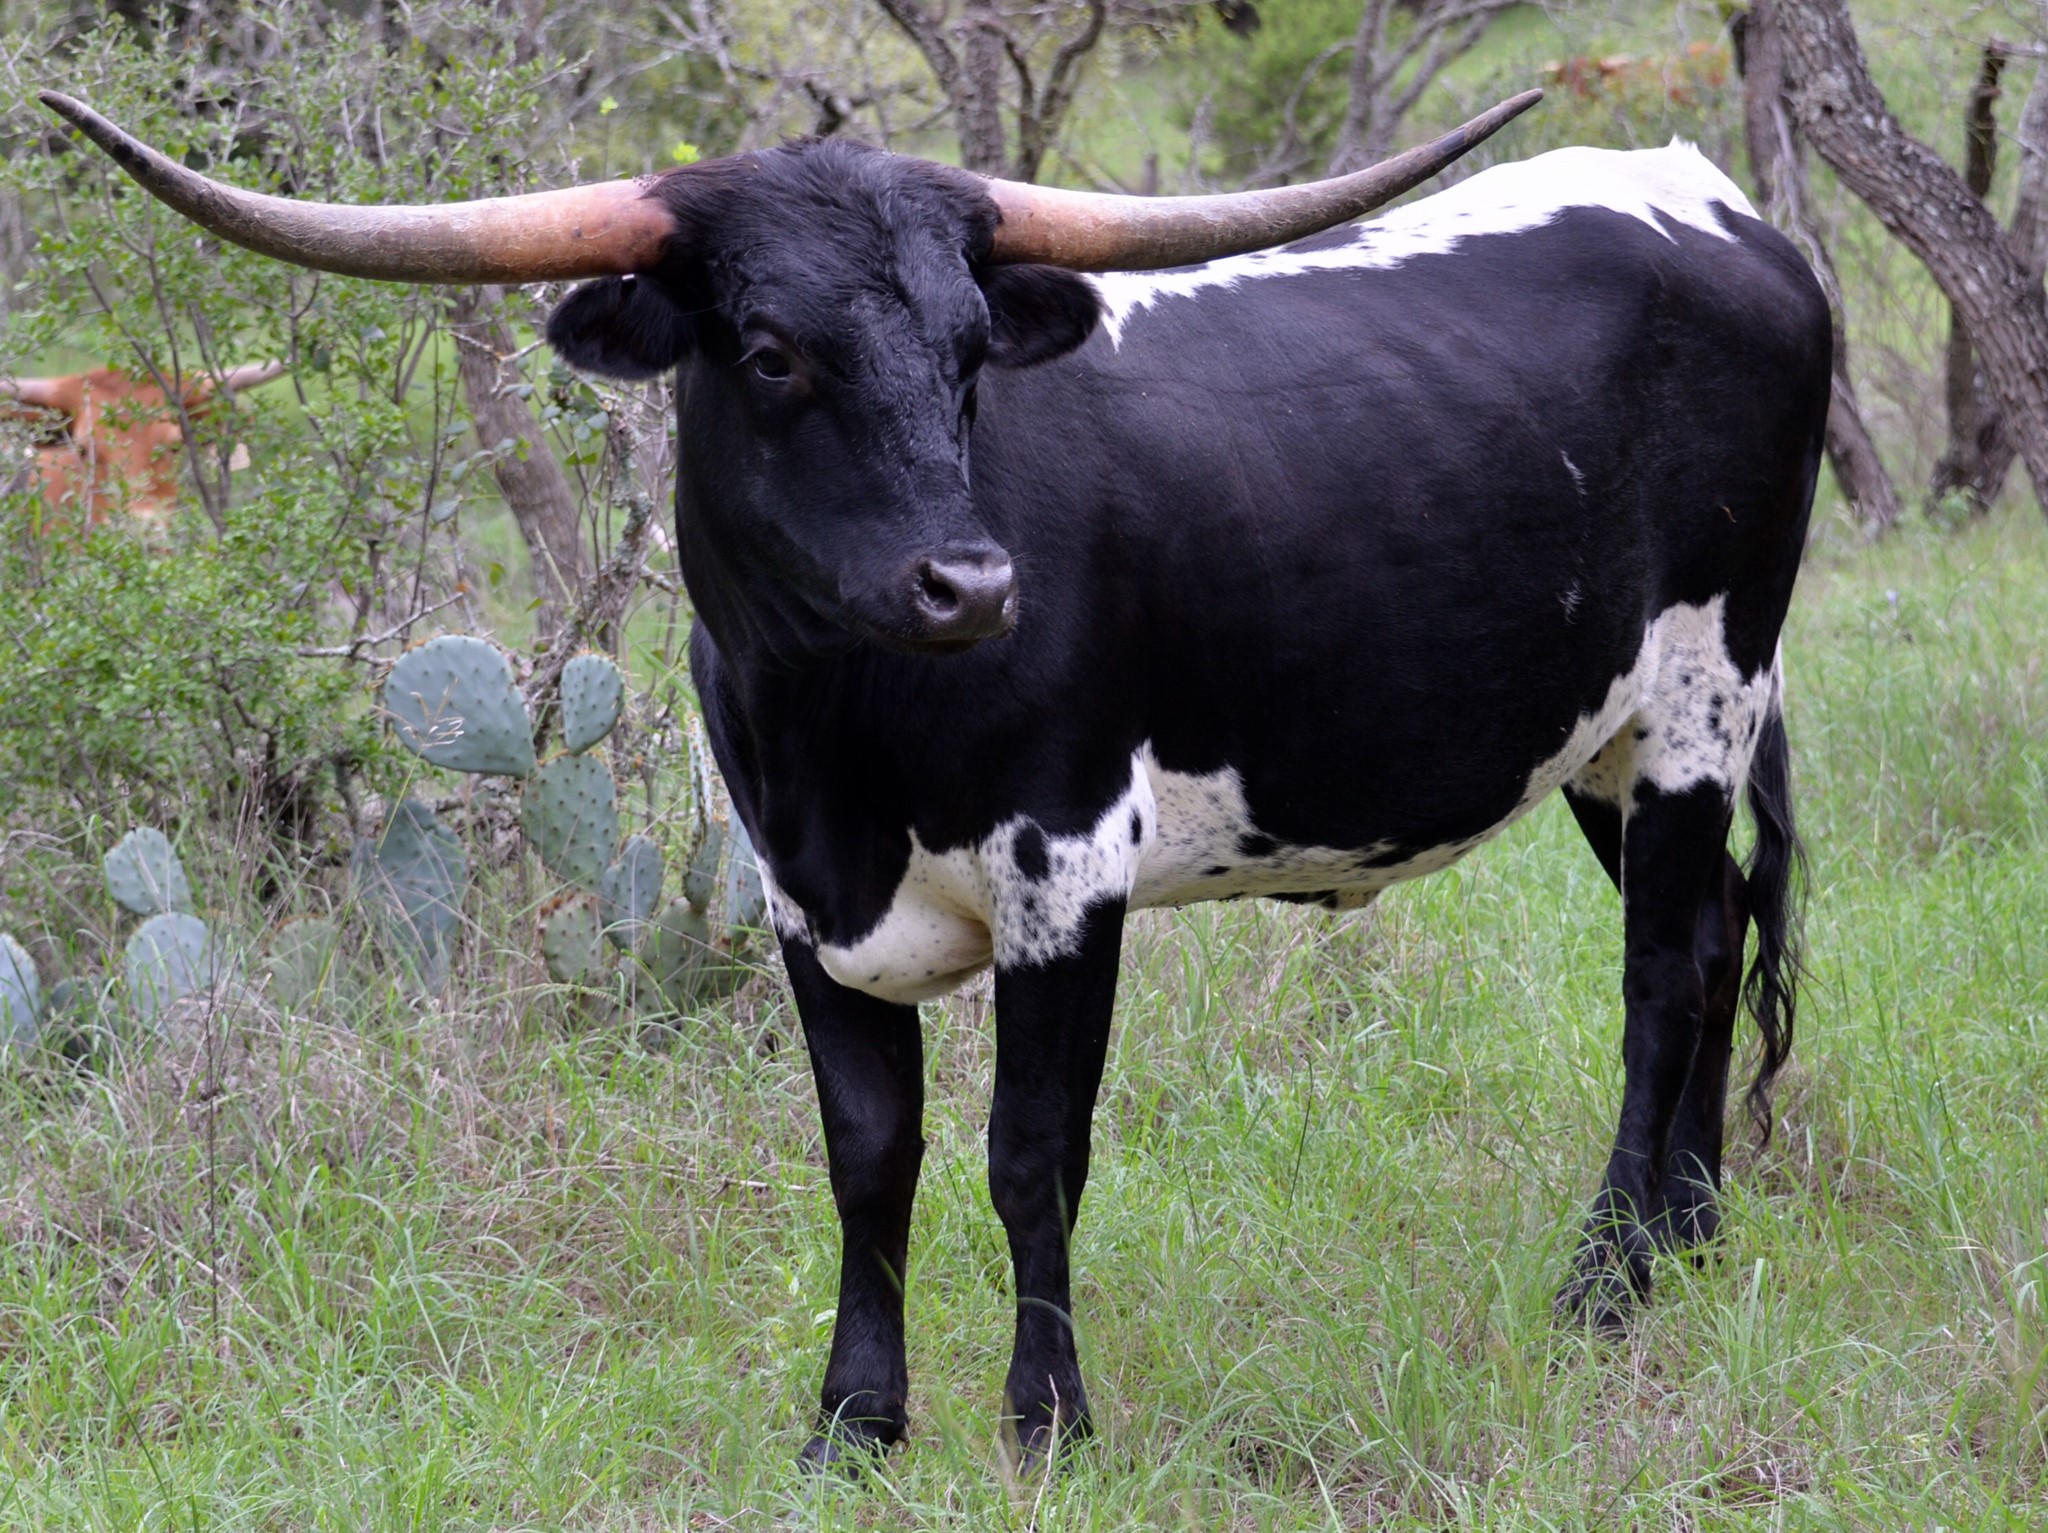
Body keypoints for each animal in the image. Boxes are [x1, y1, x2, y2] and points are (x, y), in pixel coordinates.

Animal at [43, 88, 1826, 1470]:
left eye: (971, 350)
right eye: (771, 353)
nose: (971, 584)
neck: (838, 733)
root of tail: (1720, 203)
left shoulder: (1067, 866)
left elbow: (1030, 1152)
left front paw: (1047, 1418)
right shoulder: (798, 899)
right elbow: (868, 1155)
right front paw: (855, 1420)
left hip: (1698, 700)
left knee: (1664, 978)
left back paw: (1609, 1277)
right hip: (1608, 740)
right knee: (1720, 933)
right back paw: (1695, 1236)